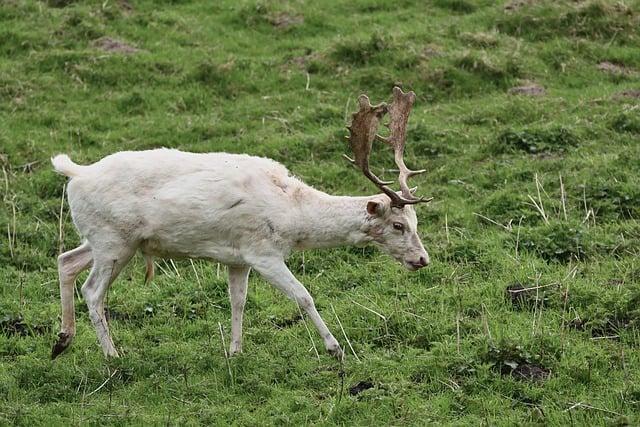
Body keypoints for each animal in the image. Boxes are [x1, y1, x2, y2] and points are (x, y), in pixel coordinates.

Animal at [50, 88, 430, 362]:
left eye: (416, 221)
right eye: (398, 225)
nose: (423, 259)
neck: (293, 216)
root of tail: (76, 173)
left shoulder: (238, 258)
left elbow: (238, 301)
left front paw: (234, 351)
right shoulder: (263, 252)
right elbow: (303, 296)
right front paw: (335, 348)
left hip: (103, 240)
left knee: (65, 260)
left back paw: (62, 340)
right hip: (114, 241)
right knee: (92, 291)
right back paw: (112, 355)